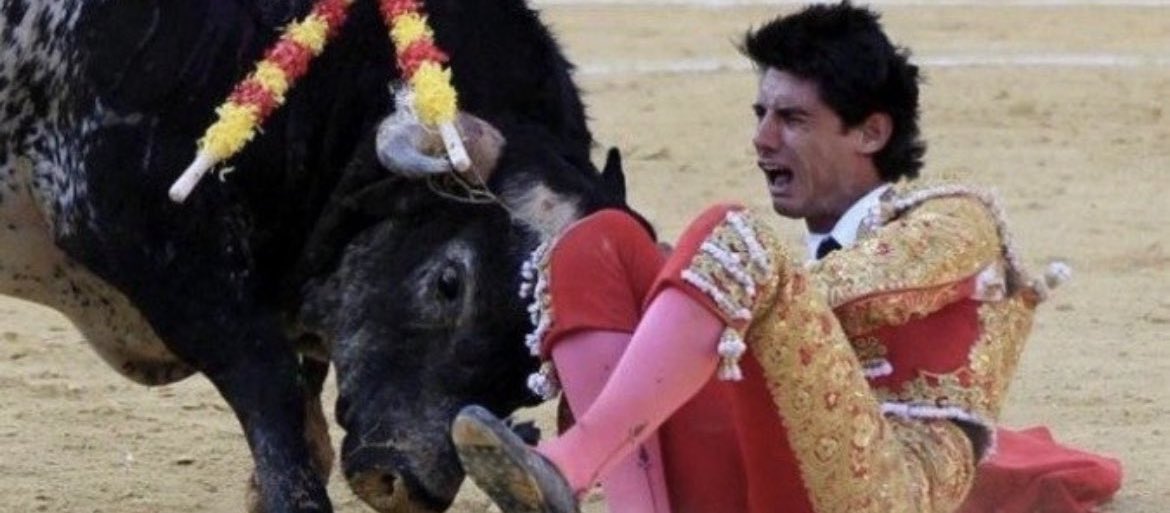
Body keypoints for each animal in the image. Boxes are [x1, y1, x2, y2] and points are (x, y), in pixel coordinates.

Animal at [0, 0, 631, 510]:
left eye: (537, 376)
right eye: (450, 282)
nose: (401, 483)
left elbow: (308, 429)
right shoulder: (151, 245)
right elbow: (276, 400)